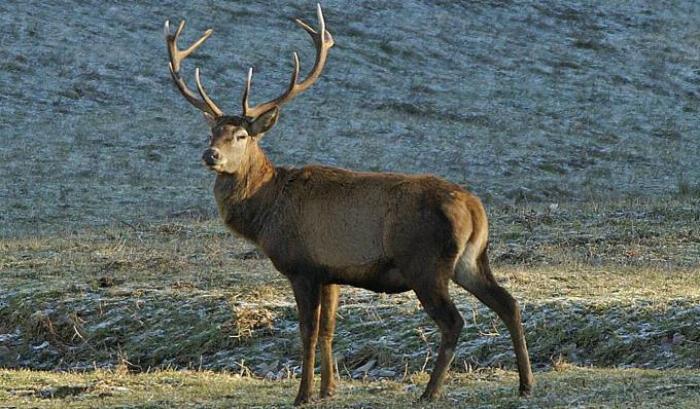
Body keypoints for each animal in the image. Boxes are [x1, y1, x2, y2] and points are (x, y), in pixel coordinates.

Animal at [164, 3, 532, 404]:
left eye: (241, 135)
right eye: (212, 132)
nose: (210, 154)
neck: (265, 212)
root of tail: (475, 208)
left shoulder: (302, 266)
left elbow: (308, 331)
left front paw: (303, 394)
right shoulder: (331, 273)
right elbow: (328, 329)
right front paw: (329, 388)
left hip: (425, 262)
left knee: (454, 320)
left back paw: (430, 391)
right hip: (470, 260)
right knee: (509, 303)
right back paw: (525, 383)